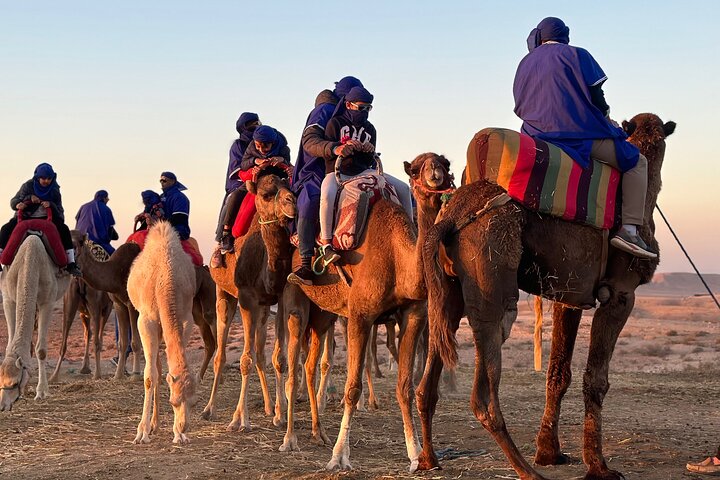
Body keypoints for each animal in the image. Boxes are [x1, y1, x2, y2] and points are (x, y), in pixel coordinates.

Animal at [0, 235, 71, 410]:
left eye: (14, 382)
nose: (2, 406)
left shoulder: (48, 302)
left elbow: (41, 350)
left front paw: (41, 392)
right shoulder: (8, 298)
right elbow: (10, 345)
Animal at [72, 231, 217, 382]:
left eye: (79, 242)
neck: (115, 271)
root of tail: (205, 268)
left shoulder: (132, 305)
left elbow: (135, 342)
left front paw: (136, 374)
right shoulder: (118, 304)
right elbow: (122, 343)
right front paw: (118, 376)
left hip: (209, 291)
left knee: (213, 322)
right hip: (194, 305)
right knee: (208, 339)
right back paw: (198, 377)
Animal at [127, 221, 196, 444]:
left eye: (193, 402)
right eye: (173, 401)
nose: (184, 426)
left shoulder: (185, 319)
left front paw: (179, 435)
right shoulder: (145, 320)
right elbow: (149, 376)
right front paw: (142, 432)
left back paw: (156, 424)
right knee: (155, 367)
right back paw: (151, 426)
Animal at [251, 152, 454, 470]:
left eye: (445, 163)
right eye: (416, 169)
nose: (435, 173)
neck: (399, 261)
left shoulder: (414, 316)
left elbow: (405, 387)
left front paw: (416, 455)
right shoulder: (360, 316)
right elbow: (352, 388)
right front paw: (338, 456)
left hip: (323, 313)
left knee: (310, 365)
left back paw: (318, 433)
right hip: (294, 300)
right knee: (292, 367)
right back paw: (290, 439)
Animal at [417, 113, 675, 480]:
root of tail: (450, 217)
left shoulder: (570, 295)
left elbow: (558, 374)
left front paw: (549, 452)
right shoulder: (621, 294)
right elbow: (596, 379)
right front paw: (599, 466)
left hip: (447, 293)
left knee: (428, 383)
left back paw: (429, 459)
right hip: (491, 281)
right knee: (483, 394)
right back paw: (526, 471)